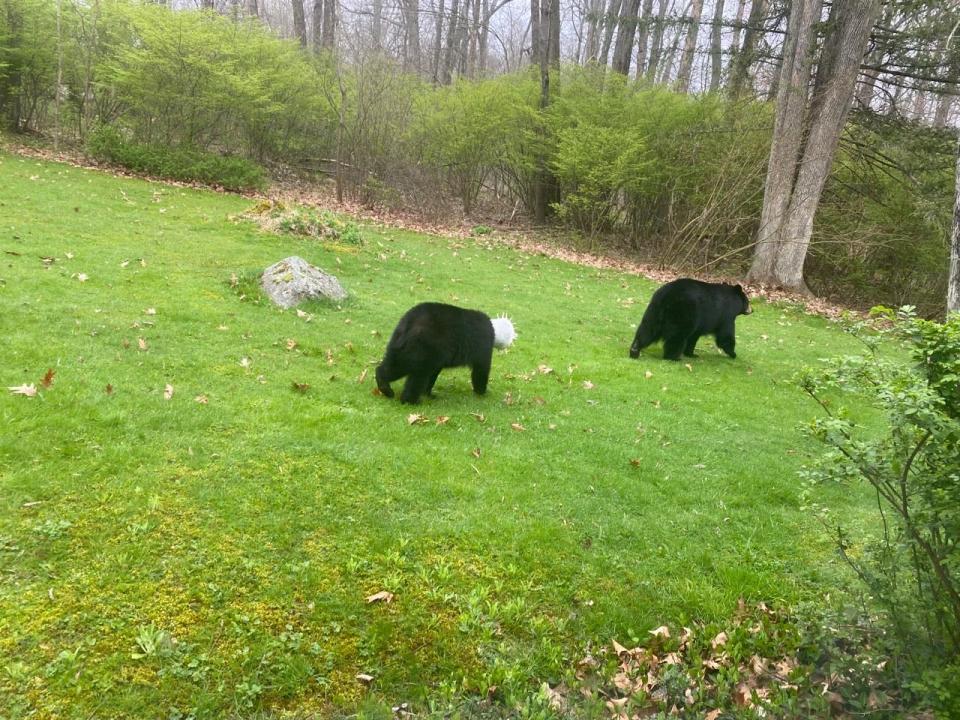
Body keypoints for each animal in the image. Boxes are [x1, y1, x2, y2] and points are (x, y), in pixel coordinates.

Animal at [376, 302, 516, 404]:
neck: (494, 328)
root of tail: (408, 324)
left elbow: (434, 373)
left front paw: (428, 392)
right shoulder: (483, 345)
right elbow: (481, 370)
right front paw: (482, 391)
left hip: (399, 345)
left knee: (393, 366)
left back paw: (385, 387)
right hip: (423, 347)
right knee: (417, 375)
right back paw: (410, 400)